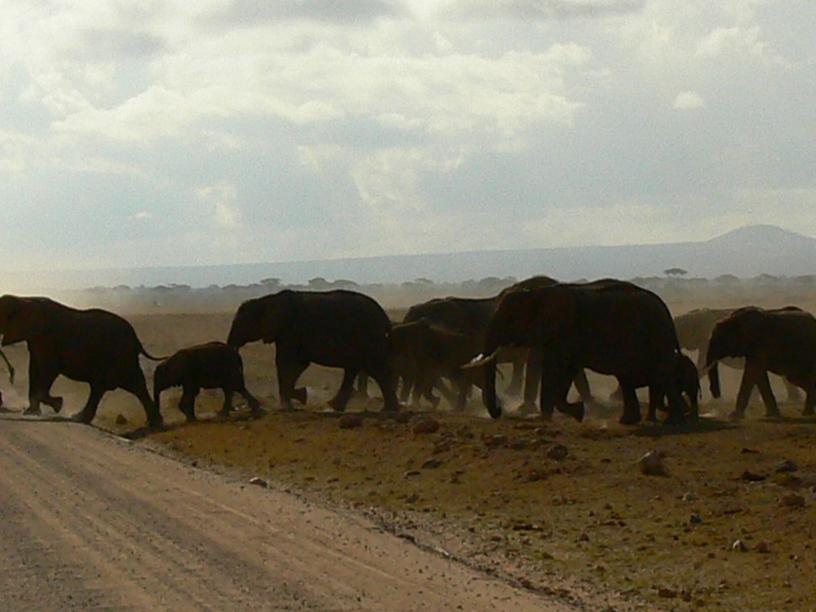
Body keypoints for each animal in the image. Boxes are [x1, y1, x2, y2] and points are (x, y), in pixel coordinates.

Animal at [0, 295, 163, 427]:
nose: (11, 375)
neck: (26, 299)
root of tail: (136, 338)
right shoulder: (35, 340)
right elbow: (34, 368)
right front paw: (31, 412)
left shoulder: (49, 339)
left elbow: (49, 370)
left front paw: (58, 404)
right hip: (124, 358)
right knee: (136, 385)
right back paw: (154, 423)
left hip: (118, 356)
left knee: (101, 386)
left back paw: (78, 418)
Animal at [227, 289, 400, 413]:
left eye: (241, 323)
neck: (266, 299)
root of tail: (384, 317)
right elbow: (299, 365)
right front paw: (299, 397)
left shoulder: (290, 331)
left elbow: (285, 362)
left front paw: (288, 405)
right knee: (357, 368)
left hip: (368, 337)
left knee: (376, 369)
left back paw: (388, 410)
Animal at [474, 279, 688, 425]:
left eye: (510, 319)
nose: (499, 411)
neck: (536, 293)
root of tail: (667, 312)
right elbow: (568, 370)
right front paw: (578, 413)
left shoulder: (565, 331)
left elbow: (554, 368)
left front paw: (548, 419)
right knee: (627, 377)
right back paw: (629, 421)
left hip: (657, 337)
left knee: (662, 375)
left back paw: (676, 419)